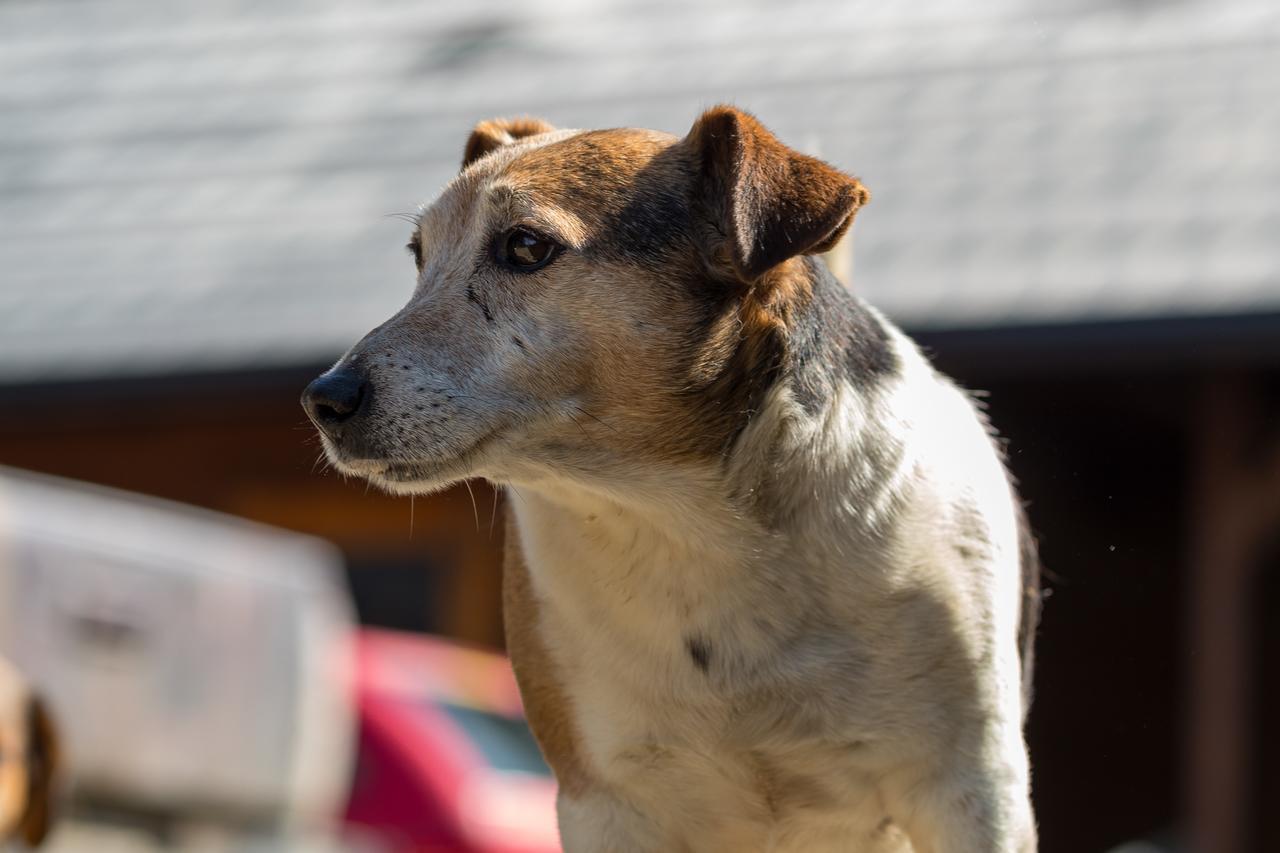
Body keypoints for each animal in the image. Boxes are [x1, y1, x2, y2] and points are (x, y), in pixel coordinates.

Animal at [307, 108, 1039, 850]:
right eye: (419, 257)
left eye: (526, 246)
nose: (325, 399)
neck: (687, 514)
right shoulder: (605, 802)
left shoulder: (971, 790)